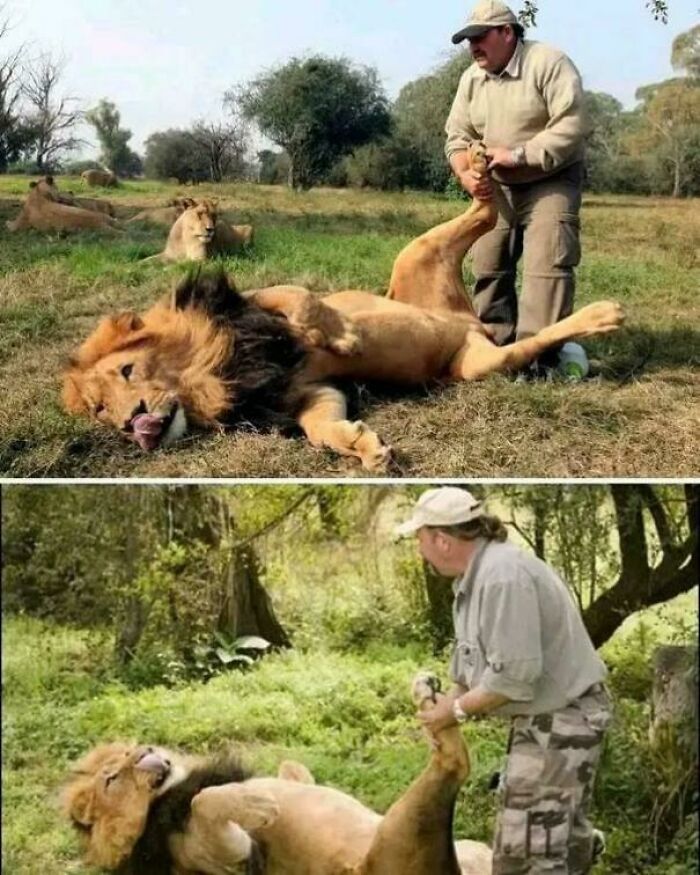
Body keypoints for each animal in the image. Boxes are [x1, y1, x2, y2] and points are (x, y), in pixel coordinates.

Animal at [62, 145, 624, 471]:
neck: (212, 375)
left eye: (128, 371)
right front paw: (362, 446)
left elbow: (295, 294)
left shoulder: (253, 308)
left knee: (489, 217)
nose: (131, 423)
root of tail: (469, 322)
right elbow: (320, 427)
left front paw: (344, 336)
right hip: (474, 363)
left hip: (416, 255)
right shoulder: (310, 390)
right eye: (99, 410)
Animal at [63, 674, 493, 875]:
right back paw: (429, 700)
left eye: (129, 750)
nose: (147, 752)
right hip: (403, 832)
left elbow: (292, 770)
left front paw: (282, 779)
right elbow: (204, 800)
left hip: (470, 846)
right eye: (112, 778)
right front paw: (257, 803)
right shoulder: (227, 856)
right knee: (454, 760)